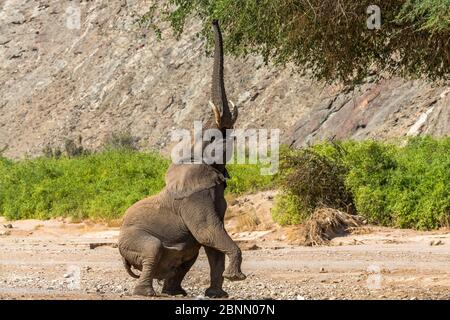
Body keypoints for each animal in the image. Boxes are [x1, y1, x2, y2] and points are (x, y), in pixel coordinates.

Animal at [118, 20, 246, 298]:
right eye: (211, 137)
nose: (214, 20)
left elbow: (212, 242)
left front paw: (218, 294)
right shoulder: (193, 199)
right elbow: (209, 233)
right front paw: (237, 278)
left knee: (190, 252)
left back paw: (175, 292)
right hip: (132, 240)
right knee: (153, 248)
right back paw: (147, 292)